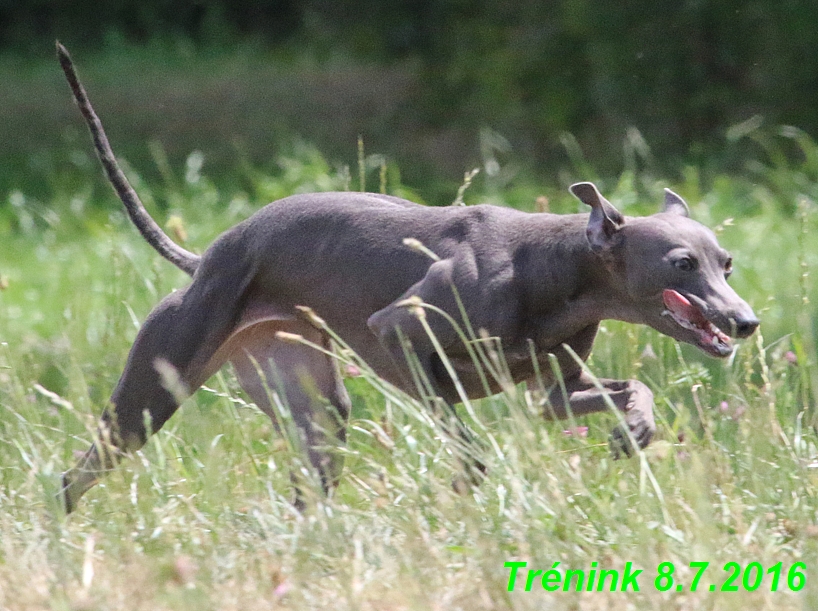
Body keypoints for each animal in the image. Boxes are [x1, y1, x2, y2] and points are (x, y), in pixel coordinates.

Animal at [57, 41, 760, 512]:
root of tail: (205, 261)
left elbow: (627, 391)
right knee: (76, 474)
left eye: (725, 263)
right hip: (154, 392)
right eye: (682, 264)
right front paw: (468, 478)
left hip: (313, 405)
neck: (556, 266)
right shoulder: (397, 334)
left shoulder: (556, 390)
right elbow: (458, 428)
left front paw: (634, 430)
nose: (746, 322)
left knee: (308, 483)